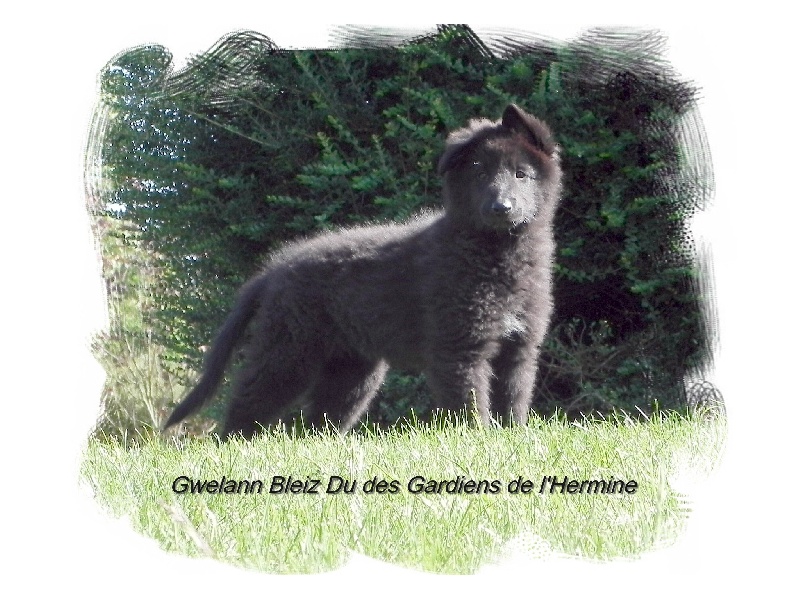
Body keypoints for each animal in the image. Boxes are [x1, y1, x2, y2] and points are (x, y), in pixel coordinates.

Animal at [163, 104, 562, 438]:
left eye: (521, 174)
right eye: (479, 173)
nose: (501, 207)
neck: (497, 254)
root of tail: (274, 269)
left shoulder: (520, 348)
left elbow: (513, 401)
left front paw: (513, 438)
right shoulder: (459, 348)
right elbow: (468, 406)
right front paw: (478, 441)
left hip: (351, 366)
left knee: (322, 419)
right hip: (289, 350)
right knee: (249, 400)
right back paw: (233, 443)